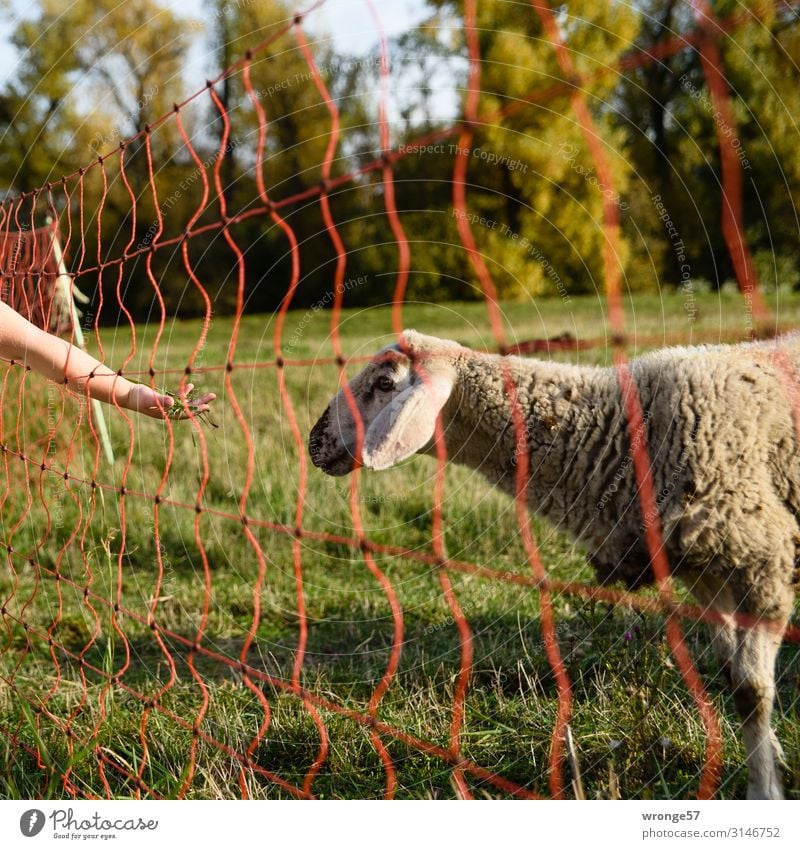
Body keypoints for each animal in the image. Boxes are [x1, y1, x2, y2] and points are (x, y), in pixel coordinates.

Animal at [310, 328, 800, 800]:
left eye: (384, 382)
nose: (316, 439)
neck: (618, 434)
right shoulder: (707, 574)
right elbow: (729, 670)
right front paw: (772, 757)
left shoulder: (764, 558)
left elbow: (749, 691)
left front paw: (765, 790)